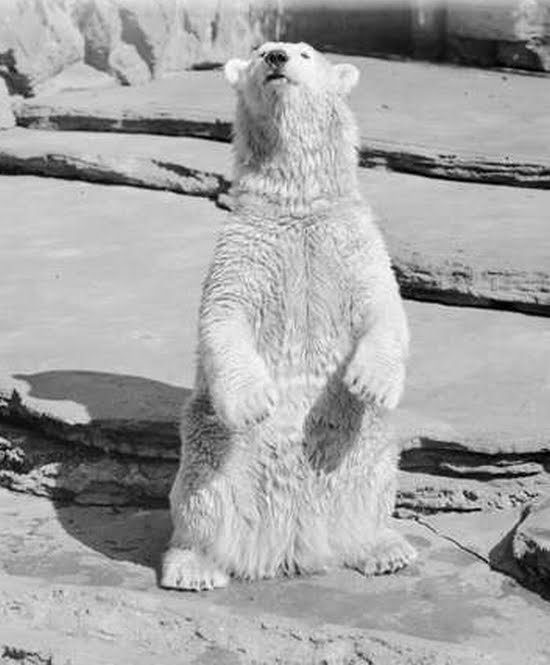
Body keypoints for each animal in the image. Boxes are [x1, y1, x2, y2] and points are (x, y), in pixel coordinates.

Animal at [161, 41, 416, 591]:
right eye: (257, 52)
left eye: (305, 53)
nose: (276, 55)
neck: (298, 205)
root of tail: (290, 546)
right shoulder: (246, 246)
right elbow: (223, 314)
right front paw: (256, 401)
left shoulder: (351, 241)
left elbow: (385, 306)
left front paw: (369, 380)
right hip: (214, 446)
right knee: (200, 494)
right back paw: (194, 566)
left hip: (364, 447)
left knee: (374, 480)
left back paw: (384, 548)